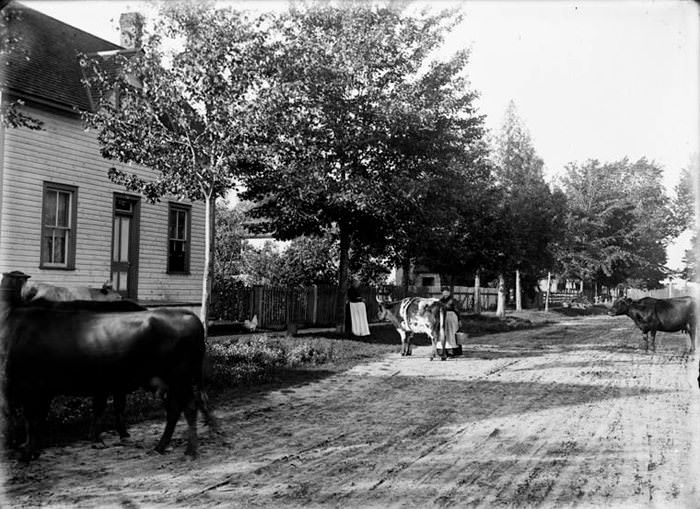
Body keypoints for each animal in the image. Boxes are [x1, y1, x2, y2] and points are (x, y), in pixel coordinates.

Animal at [2, 298, 216, 460]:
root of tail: (187, 314)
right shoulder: (40, 390)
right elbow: (35, 420)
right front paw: (30, 449)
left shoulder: (31, 387)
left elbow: (31, 420)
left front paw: (27, 452)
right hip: (169, 382)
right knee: (174, 409)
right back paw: (160, 447)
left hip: (180, 378)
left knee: (189, 407)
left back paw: (190, 451)